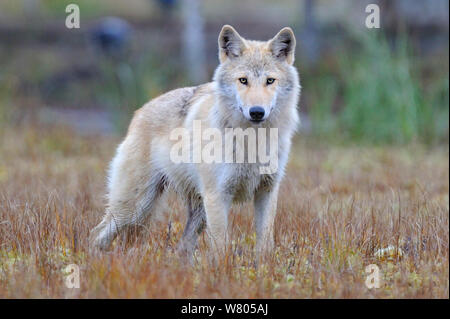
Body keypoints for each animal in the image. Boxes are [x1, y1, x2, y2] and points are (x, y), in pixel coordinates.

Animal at [89, 25, 300, 258]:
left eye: (270, 81)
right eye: (243, 80)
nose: (256, 112)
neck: (251, 140)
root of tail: (139, 112)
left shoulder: (267, 191)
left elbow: (265, 244)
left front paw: (262, 267)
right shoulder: (218, 196)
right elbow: (220, 248)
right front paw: (223, 268)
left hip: (193, 213)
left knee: (183, 246)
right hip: (135, 208)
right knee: (97, 234)